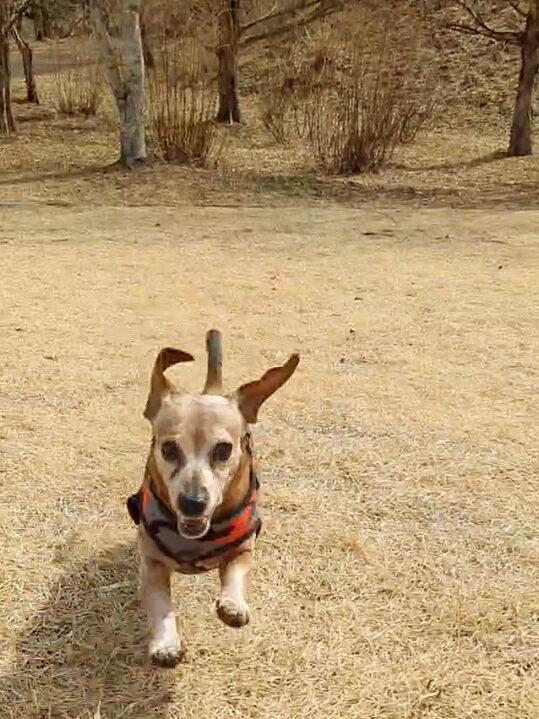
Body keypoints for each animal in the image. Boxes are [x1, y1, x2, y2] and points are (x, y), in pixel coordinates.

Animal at [127, 330, 299, 666]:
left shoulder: (244, 549)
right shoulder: (152, 563)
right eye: (168, 449)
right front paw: (166, 643)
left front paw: (233, 606)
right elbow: (160, 603)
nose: (193, 502)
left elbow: (235, 573)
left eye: (223, 450)